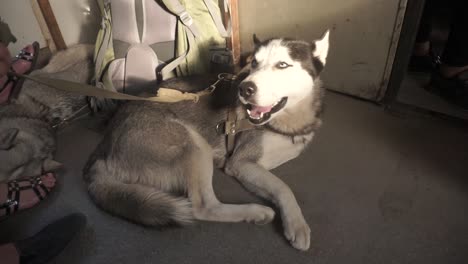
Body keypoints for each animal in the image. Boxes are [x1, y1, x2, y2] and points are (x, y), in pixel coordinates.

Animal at [83, 32, 330, 251]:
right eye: (254, 63)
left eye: (283, 65)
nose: (244, 89)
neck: (289, 119)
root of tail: (104, 145)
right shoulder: (240, 163)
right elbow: (283, 187)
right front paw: (297, 224)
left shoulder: (248, 168)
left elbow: (274, 185)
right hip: (195, 144)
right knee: (204, 208)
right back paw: (254, 212)